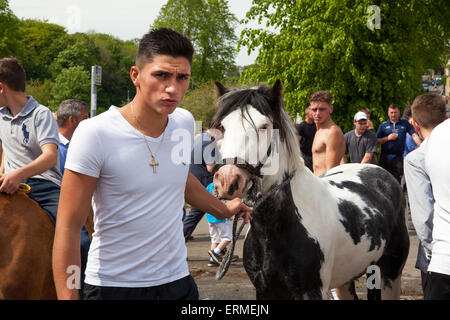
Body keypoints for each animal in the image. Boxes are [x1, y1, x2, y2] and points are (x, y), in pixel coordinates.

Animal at [213, 80, 410, 300]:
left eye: (264, 126)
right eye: (222, 127)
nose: (228, 180)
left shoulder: (312, 292)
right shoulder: (265, 291)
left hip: (390, 275)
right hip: (345, 281)